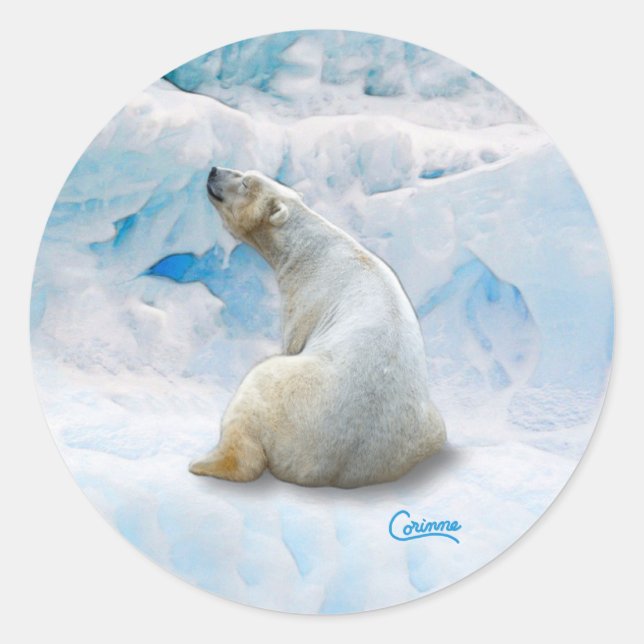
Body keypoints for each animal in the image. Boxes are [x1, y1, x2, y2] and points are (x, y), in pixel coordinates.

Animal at [189, 167, 446, 488]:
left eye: (245, 182)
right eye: (243, 172)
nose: (213, 171)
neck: (312, 247)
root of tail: (331, 469)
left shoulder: (306, 299)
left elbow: (292, 340)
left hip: (286, 399)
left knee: (253, 397)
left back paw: (204, 463)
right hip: (425, 429)